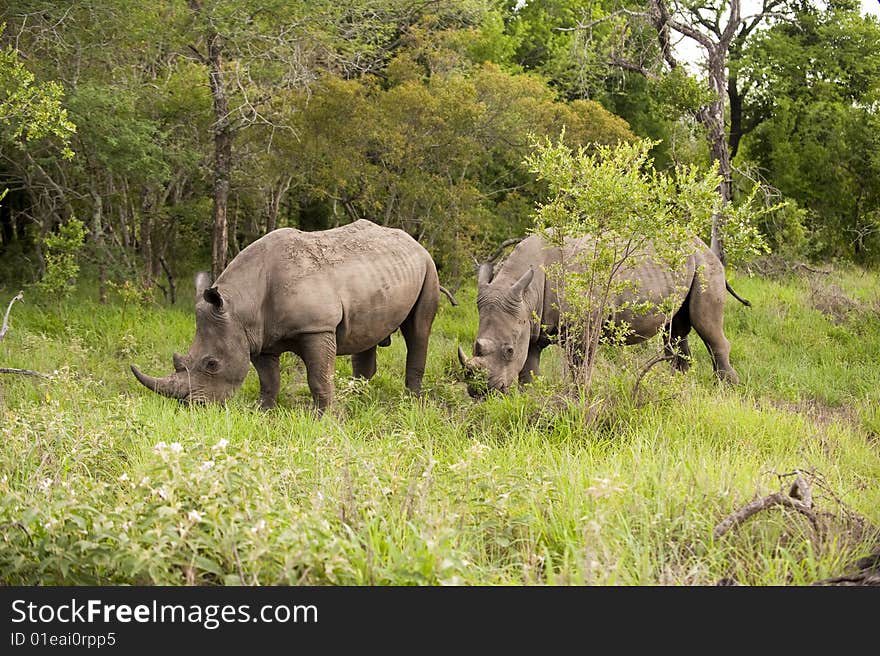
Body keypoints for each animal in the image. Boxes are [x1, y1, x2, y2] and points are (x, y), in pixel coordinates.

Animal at [131, 220, 440, 410]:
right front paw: (262, 411)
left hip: (428, 266)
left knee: (418, 331)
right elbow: (269, 380)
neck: (241, 304)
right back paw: (358, 398)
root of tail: (413, 241)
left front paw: (324, 420)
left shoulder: (317, 327)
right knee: (367, 335)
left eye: (211, 364)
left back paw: (411, 401)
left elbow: (318, 377)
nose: (194, 407)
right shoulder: (257, 337)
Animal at [458, 233, 744, 398]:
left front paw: (578, 398)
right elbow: (529, 368)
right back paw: (676, 387)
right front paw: (529, 398)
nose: (480, 392)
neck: (525, 291)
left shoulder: (582, 325)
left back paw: (727, 390)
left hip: (706, 266)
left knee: (706, 328)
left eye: (508, 350)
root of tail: (704, 246)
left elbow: (579, 364)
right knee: (675, 331)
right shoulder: (531, 325)